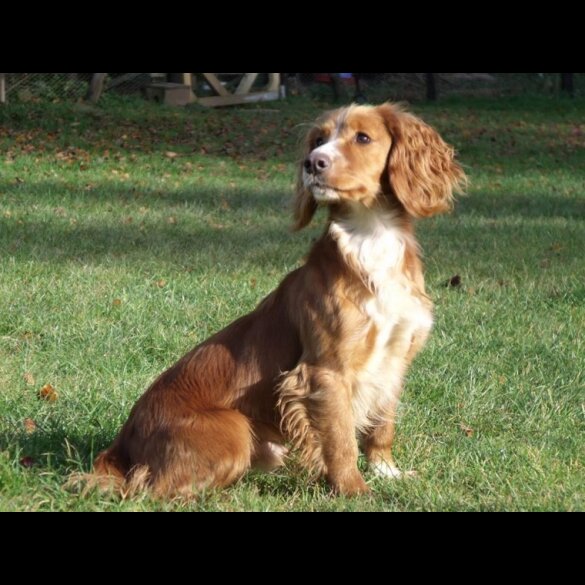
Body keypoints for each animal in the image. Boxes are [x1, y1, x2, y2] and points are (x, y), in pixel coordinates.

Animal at [90, 102, 466, 496]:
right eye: (318, 140)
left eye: (363, 138)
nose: (313, 163)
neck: (370, 236)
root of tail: (122, 439)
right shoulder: (325, 372)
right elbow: (341, 440)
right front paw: (354, 491)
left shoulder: (395, 358)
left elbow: (382, 425)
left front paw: (386, 471)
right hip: (235, 429)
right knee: (149, 487)